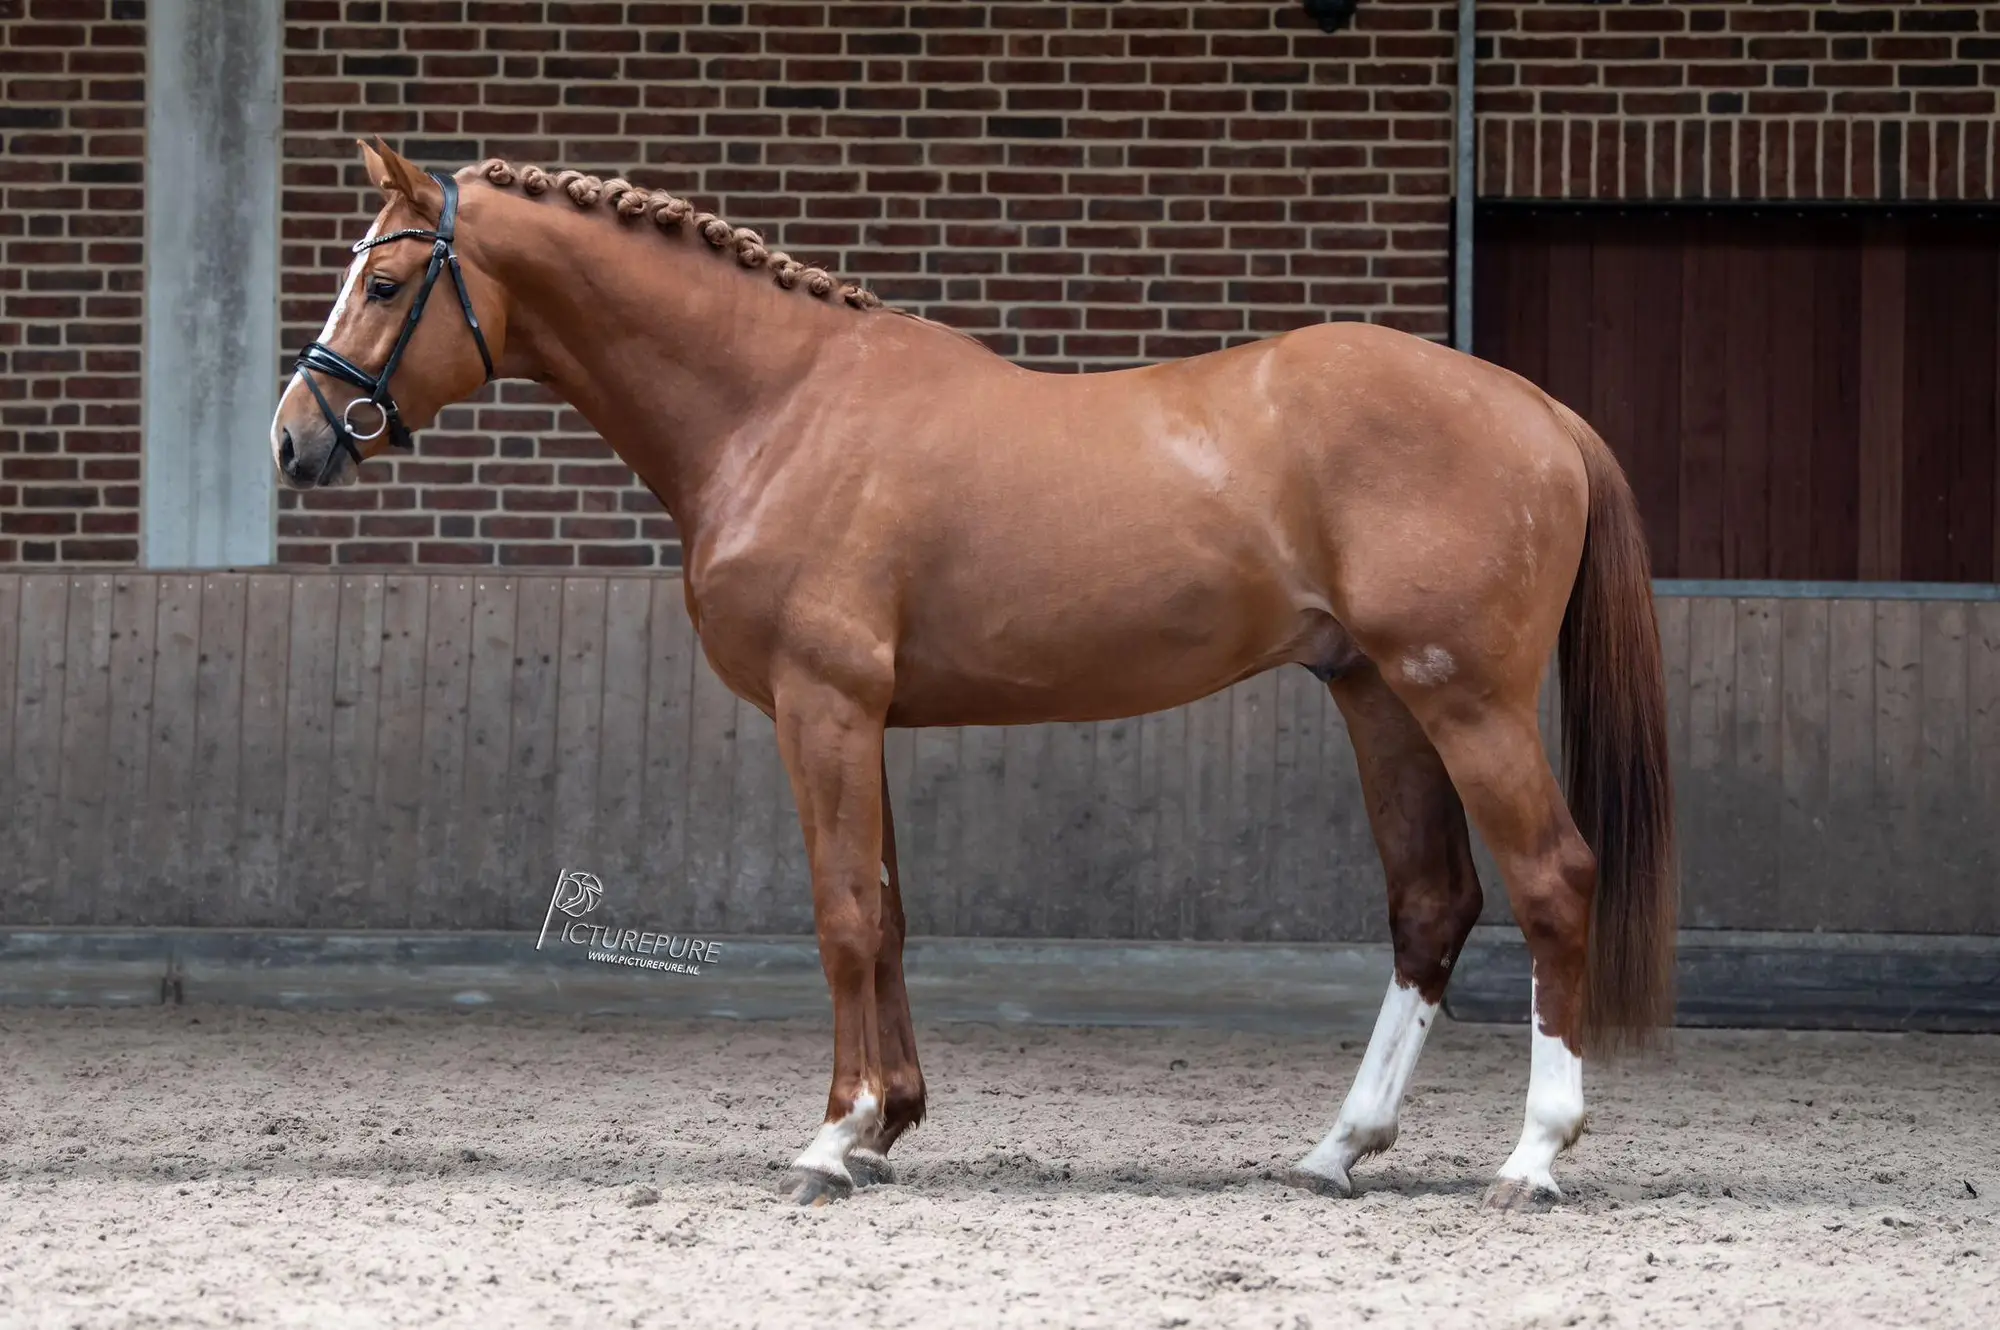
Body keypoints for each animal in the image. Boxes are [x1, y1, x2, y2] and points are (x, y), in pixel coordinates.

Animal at [271, 139, 1676, 1210]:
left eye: (384, 280)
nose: (295, 439)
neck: (779, 405)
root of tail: (1538, 411)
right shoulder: (865, 716)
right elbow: (887, 914)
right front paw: (887, 1120)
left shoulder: (823, 705)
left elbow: (842, 914)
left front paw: (833, 1137)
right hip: (1377, 696)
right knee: (1429, 904)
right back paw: (1338, 1147)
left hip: (1464, 700)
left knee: (1552, 879)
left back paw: (1532, 1157)